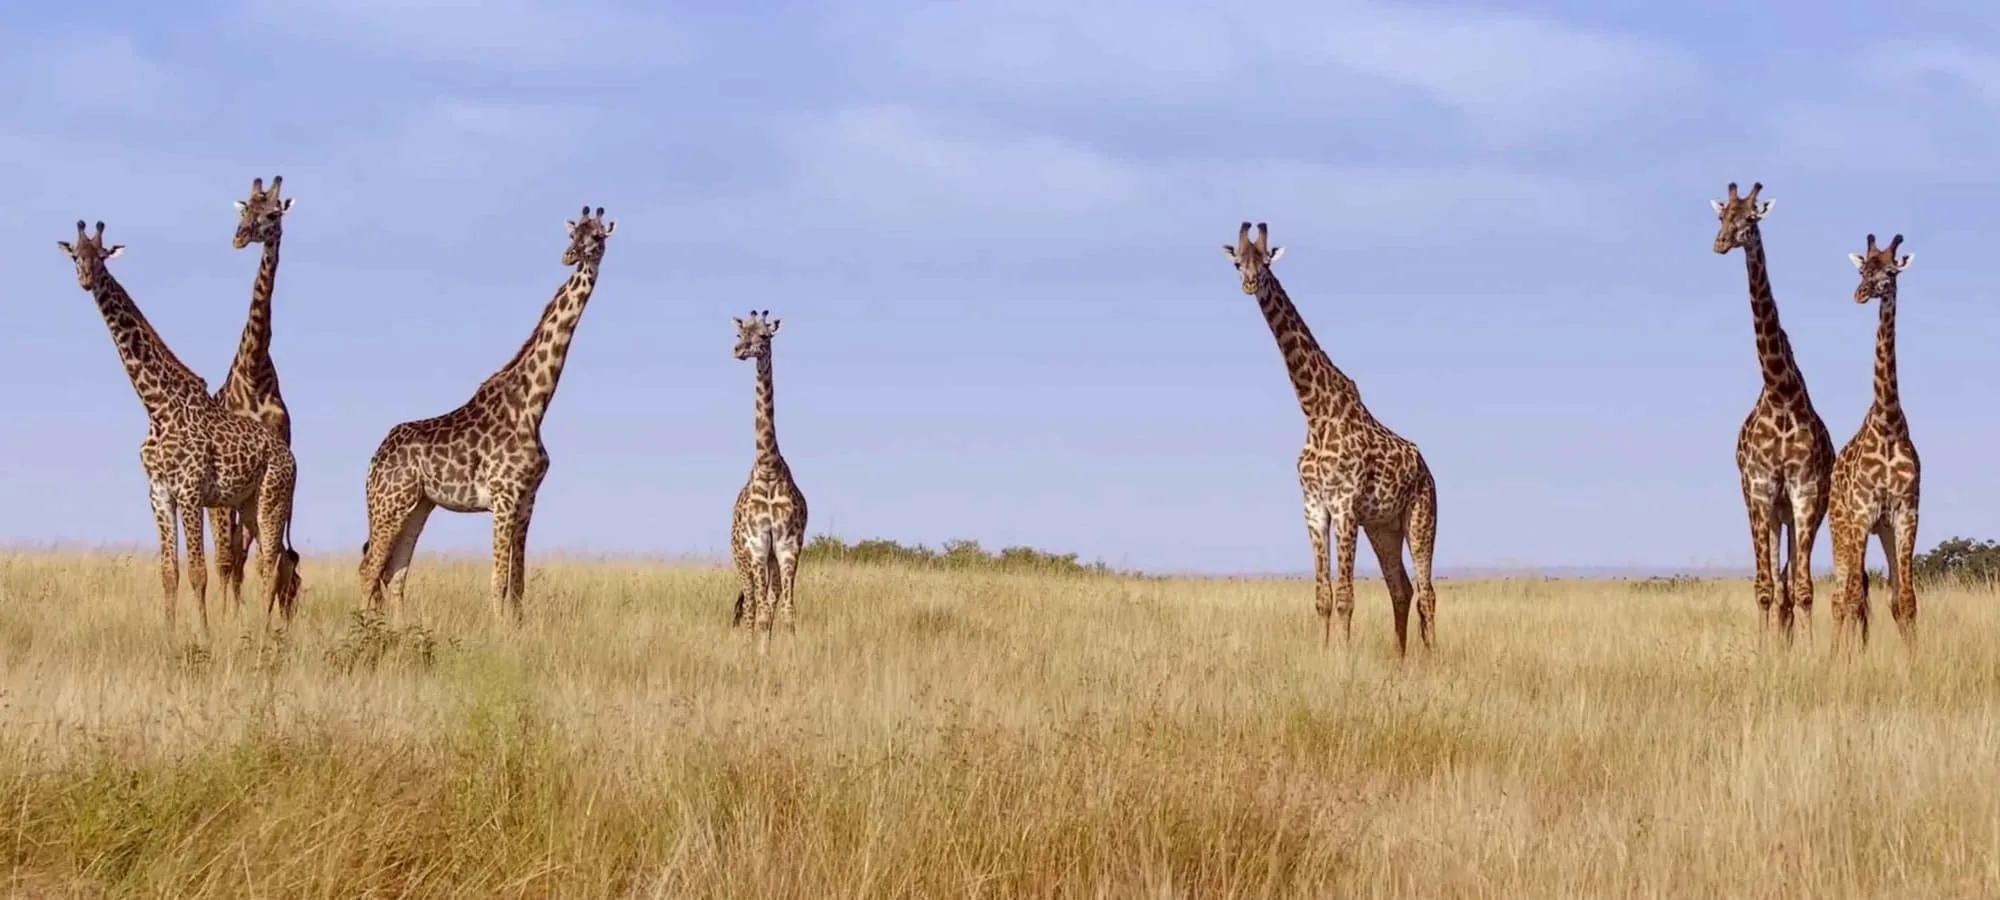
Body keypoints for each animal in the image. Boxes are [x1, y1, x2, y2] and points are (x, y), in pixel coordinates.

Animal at [55, 220, 302, 634]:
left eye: (101, 256)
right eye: (75, 255)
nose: (86, 280)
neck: (156, 405)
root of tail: (291, 458)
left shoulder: (189, 491)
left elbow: (198, 572)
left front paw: (203, 634)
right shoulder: (159, 492)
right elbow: (169, 572)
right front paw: (168, 634)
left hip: (273, 498)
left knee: (270, 562)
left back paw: (264, 632)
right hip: (249, 503)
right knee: (278, 562)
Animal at [356, 205, 615, 624]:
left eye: (596, 238)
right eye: (573, 235)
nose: (570, 256)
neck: (533, 406)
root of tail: (374, 459)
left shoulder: (527, 502)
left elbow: (518, 584)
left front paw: (516, 629)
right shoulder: (504, 498)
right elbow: (497, 582)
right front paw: (500, 632)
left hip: (418, 506)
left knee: (394, 573)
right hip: (388, 503)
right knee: (368, 569)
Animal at [1221, 222, 1439, 656]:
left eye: (1266, 262)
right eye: (1238, 263)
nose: (1251, 283)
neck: (1316, 411)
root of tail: (1427, 471)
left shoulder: (1344, 507)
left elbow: (1345, 597)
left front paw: (1342, 658)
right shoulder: (1313, 508)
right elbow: (1323, 596)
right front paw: (1323, 654)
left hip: (1421, 518)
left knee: (1427, 593)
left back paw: (1431, 658)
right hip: (1383, 528)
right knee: (1401, 589)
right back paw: (1401, 659)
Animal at [1709, 181, 1835, 643]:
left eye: (1751, 219)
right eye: (1721, 215)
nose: (1721, 243)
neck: (1781, 394)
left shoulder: (1804, 491)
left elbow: (1803, 587)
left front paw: (1809, 651)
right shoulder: (1760, 490)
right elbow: (1764, 586)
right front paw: (1766, 652)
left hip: (1800, 511)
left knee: (1792, 584)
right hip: (1770, 510)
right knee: (1777, 584)